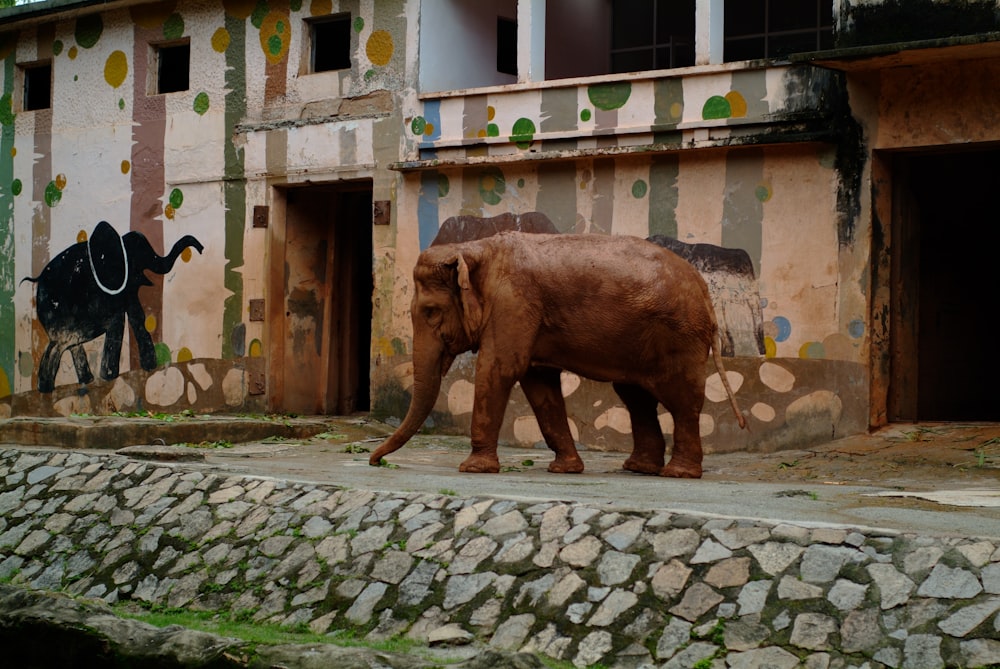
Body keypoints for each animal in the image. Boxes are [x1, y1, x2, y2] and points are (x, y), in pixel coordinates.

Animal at [372, 232, 748, 478]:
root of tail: (704, 290)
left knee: (681, 400)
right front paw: (565, 469)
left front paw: (473, 469)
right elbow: (539, 383)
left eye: (431, 312)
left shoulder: (514, 302)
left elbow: (499, 369)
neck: (475, 248)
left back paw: (677, 474)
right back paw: (638, 469)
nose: (375, 461)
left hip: (680, 336)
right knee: (635, 396)